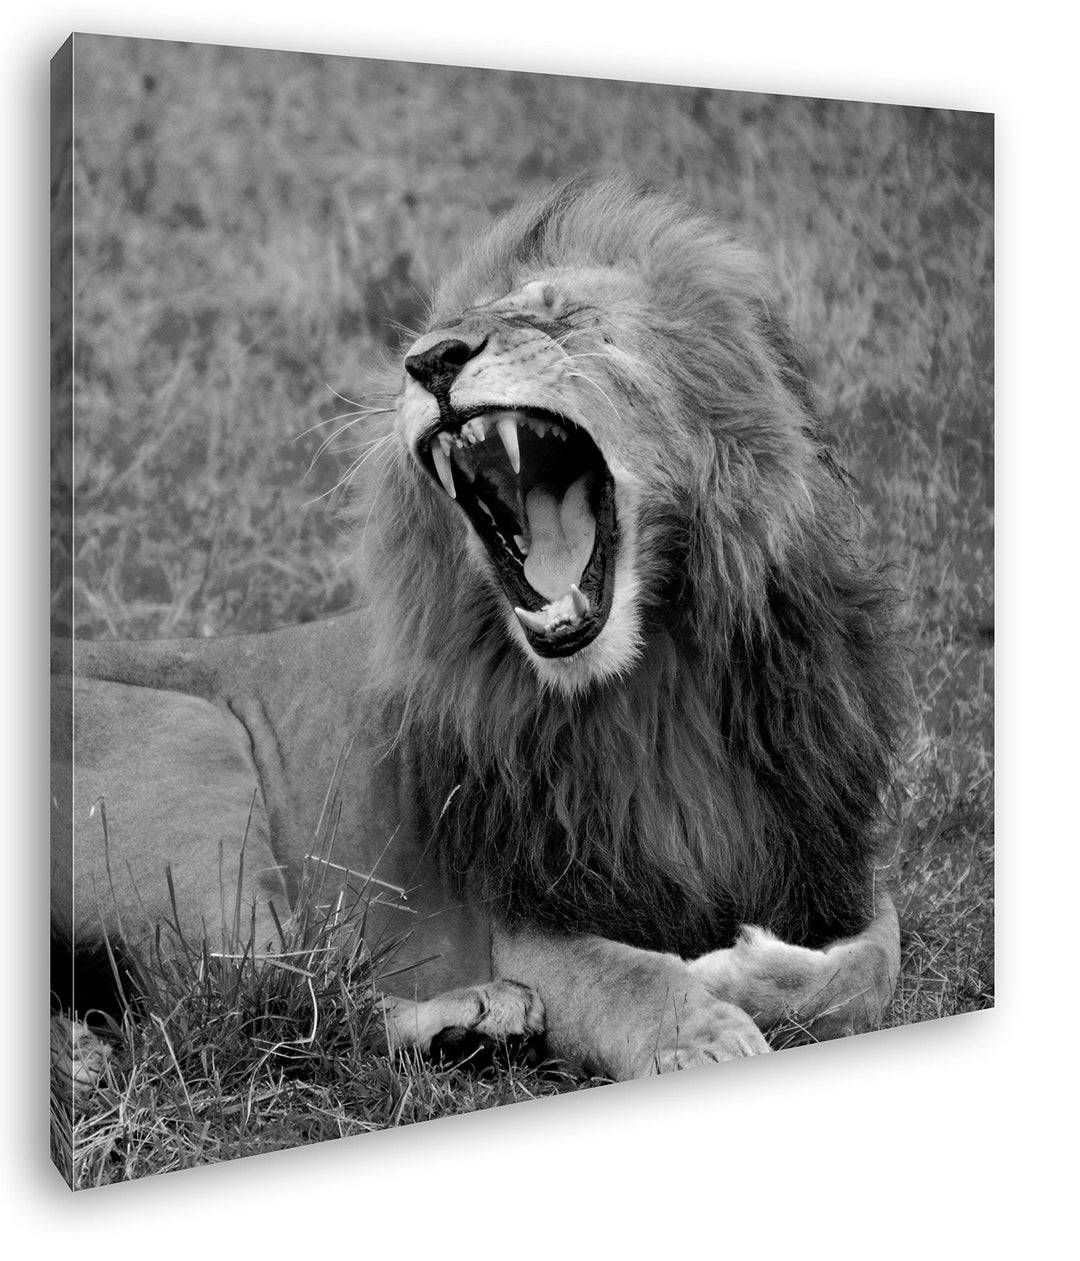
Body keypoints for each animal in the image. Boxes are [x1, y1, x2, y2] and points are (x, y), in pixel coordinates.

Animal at [52, 173, 904, 1082]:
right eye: (430, 338)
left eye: (560, 313)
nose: (429, 361)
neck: (658, 685)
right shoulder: (528, 917)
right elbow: (631, 978)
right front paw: (705, 1030)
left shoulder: (829, 854)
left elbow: (872, 964)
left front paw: (743, 968)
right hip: (195, 749)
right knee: (257, 1001)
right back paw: (476, 1017)